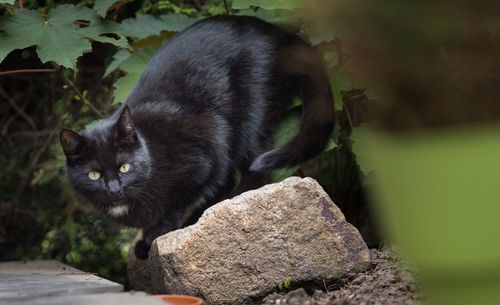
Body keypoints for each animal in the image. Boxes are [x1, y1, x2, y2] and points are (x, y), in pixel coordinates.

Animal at [60, 15, 334, 258]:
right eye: (94, 175)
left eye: (124, 167)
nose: (114, 189)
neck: (152, 151)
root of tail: (281, 33)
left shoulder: (208, 141)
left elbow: (179, 200)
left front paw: (156, 233)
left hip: (252, 114)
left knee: (253, 171)